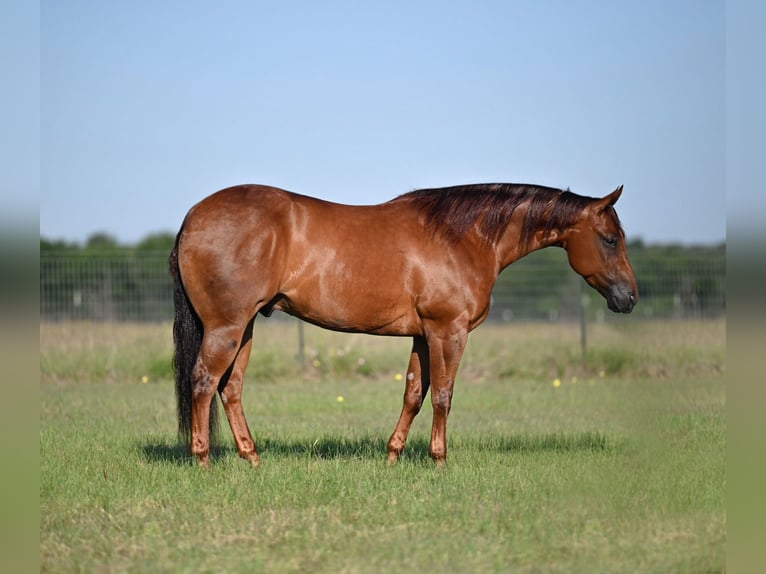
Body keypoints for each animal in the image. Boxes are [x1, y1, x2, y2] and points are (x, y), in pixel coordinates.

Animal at [169, 182, 637, 467]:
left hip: (245, 327)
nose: (629, 297)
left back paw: (252, 458)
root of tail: (192, 215)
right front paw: (440, 459)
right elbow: (444, 395)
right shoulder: (448, 331)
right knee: (204, 382)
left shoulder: (422, 335)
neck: (461, 237)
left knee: (230, 389)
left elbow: (414, 393)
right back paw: (203, 459)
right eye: (610, 239)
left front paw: (393, 456)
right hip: (226, 328)